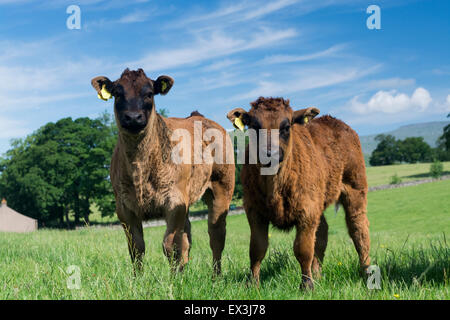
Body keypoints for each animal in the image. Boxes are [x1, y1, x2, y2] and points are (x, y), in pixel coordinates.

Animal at [90, 69, 234, 274]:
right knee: (187, 238)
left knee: (216, 236)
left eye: (149, 93)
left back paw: (216, 276)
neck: (140, 166)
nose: (133, 117)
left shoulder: (174, 202)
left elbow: (170, 246)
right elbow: (136, 248)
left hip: (222, 189)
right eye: (117, 93)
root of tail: (199, 117)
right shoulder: (124, 207)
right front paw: (139, 279)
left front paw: (173, 280)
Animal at [227, 96, 370, 288]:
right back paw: (317, 275)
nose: (270, 153)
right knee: (322, 232)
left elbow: (303, 249)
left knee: (358, 230)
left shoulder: (307, 212)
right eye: (255, 127)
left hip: (355, 189)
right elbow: (257, 248)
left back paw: (366, 272)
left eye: (286, 127)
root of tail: (334, 120)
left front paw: (306, 285)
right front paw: (253, 284)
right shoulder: (254, 210)